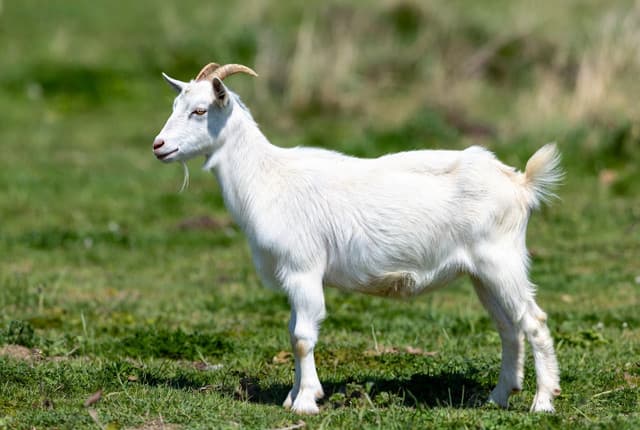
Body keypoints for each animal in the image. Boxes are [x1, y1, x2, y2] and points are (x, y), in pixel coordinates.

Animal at [152, 62, 563, 414]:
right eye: (174, 105)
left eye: (200, 111)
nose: (158, 146)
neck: (267, 176)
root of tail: (520, 183)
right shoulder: (293, 274)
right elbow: (292, 331)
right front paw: (295, 396)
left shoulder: (302, 267)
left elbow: (302, 336)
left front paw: (306, 401)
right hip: (482, 273)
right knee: (509, 328)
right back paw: (499, 396)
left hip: (501, 260)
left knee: (533, 321)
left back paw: (543, 402)